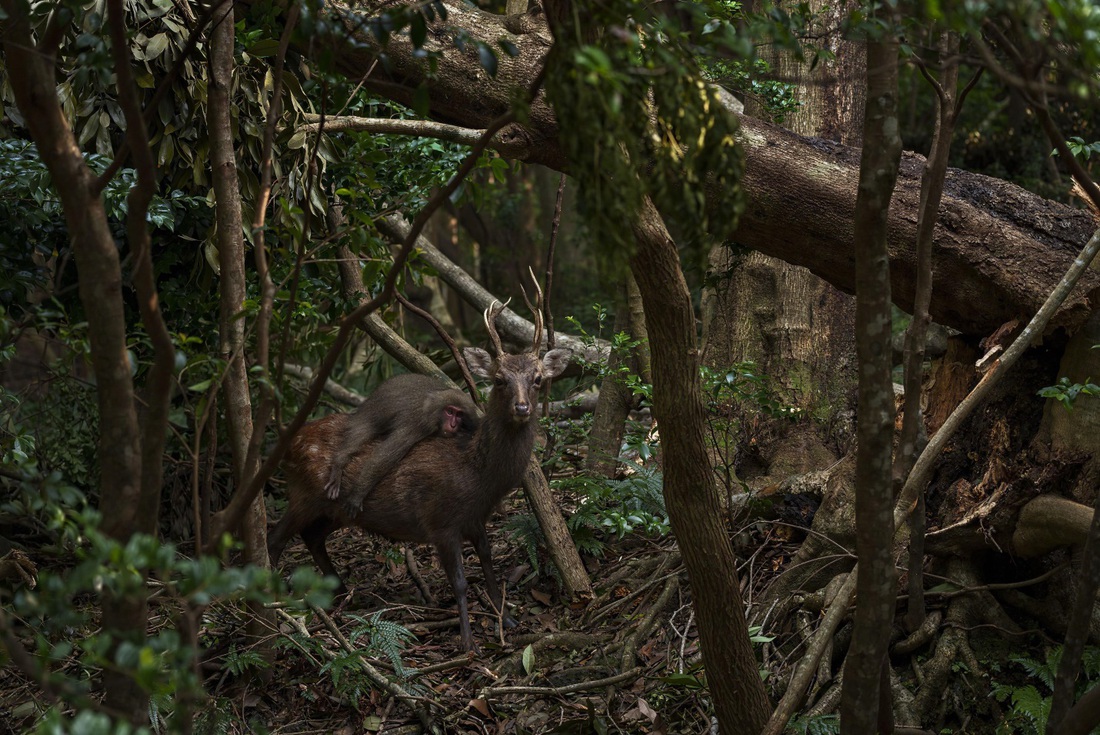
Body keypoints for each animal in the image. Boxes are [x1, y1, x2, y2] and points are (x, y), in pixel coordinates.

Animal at [321, 374, 477, 510]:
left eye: (459, 414)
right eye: (450, 412)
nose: (453, 425)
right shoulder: (418, 422)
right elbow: (383, 458)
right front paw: (357, 494)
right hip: (372, 410)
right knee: (361, 430)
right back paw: (340, 460)